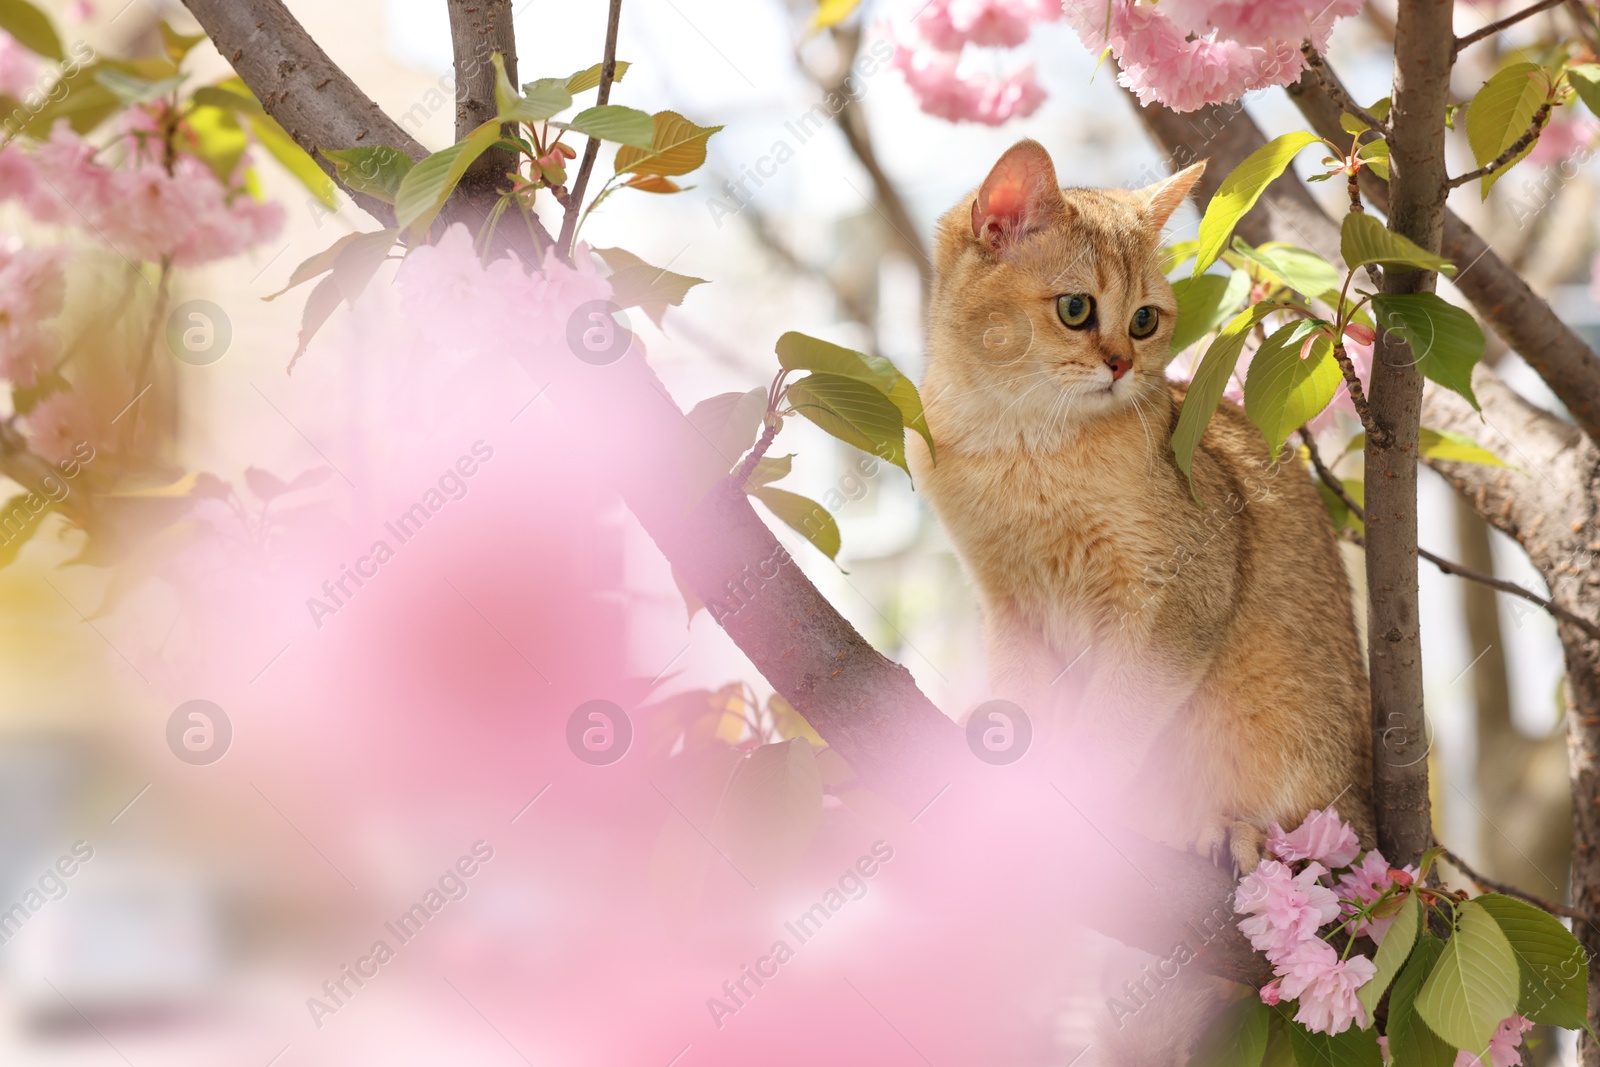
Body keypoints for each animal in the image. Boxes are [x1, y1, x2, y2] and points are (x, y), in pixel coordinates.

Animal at [915, 137, 1376, 876]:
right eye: (1076, 309)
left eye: (1144, 320)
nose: (1122, 364)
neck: (1017, 444)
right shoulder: (1009, 605)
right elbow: (1023, 703)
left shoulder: (1181, 591)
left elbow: (1110, 725)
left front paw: (1067, 790)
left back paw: (1235, 832)